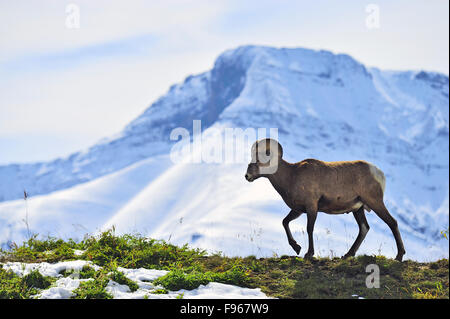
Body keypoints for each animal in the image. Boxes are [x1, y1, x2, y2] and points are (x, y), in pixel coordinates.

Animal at [244, 140, 406, 262]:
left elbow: (309, 229)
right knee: (364, 228)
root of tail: (378, 173)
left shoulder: (311, 207)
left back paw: (399, 256)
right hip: (358, 209)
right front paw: (297, 248)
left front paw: (308, 254)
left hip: (375, 202)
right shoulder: (298, 210)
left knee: (392, 223)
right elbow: (285, 222)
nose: (247, 176)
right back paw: (347, 255)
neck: (292, 175)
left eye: (259, 159)